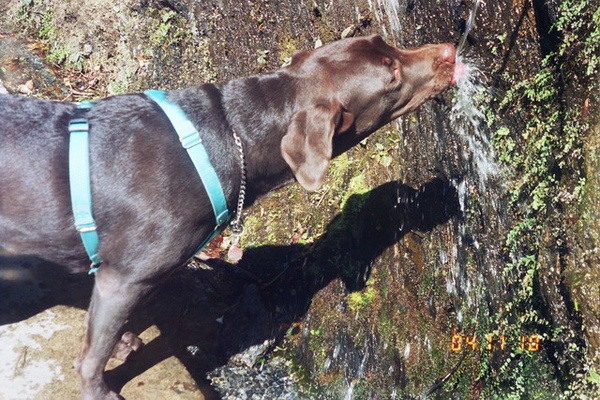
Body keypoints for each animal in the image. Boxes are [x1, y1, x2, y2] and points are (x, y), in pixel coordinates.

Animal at [0, 36, 458, 398]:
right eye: (392, 76)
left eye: (388, 44)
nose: (451, 50)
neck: (226, 132)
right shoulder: (125, 279)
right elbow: (92, 354)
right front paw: (99, 388)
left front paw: (124, 340)